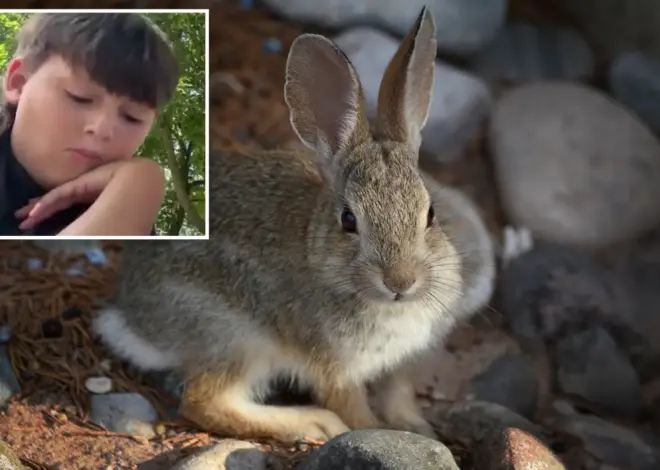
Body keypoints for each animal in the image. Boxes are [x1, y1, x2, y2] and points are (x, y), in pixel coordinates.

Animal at [92, 6, 495, 444]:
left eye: (431, 214)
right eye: (348, 219)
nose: (401, 281)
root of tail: (131, 318)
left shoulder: (401, 364)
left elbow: (398, 393)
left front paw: (417, 428)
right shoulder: (335, 367)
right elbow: (355, 412)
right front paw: (375, 431)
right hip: (236, 337)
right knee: (204, 402)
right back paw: (312, 423)